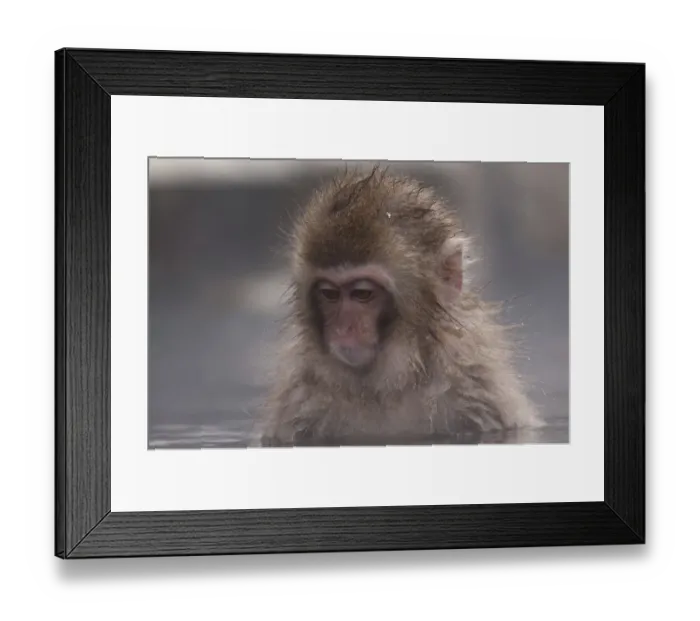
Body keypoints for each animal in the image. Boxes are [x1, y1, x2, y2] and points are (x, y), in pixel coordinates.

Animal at [254, 165, 543, 448]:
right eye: (329, 294)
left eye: (362, 293)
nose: (344, 328)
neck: (385, 387)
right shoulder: (297, 397)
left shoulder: (478, 386)